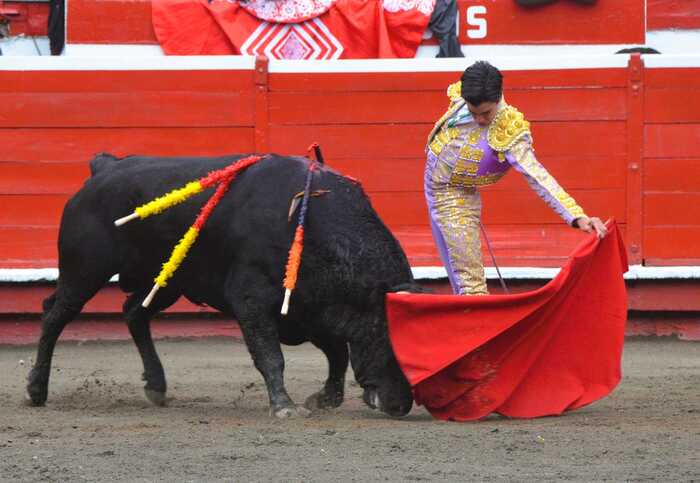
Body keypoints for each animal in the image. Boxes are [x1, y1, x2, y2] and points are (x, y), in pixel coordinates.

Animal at [26, 153, 416, 418]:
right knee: (55, 315)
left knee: (134, 311)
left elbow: (337, 354)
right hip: (84, 271)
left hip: (166, 280)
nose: (402, 404)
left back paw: (157, 386)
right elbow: (271, 355)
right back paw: (36, 389)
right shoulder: (252, 299)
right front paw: (284, 406)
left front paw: (324, 399)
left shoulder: (311, 309)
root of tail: (104, 168)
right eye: (391, 342)